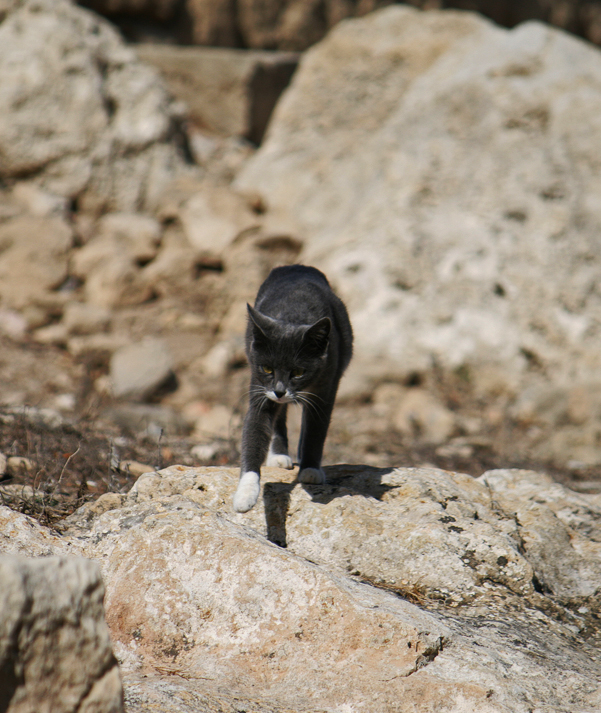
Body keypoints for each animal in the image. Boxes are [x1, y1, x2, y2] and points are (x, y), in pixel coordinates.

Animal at [231, 262, 352, 512]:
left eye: (298, 372)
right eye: (267, 368)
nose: (280, 390)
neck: (294, 314)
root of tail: (297, 265)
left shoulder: (326, 385)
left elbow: (316, 429)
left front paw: (311, 470)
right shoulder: (260, 386)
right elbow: (254, 430)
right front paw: (245, 495)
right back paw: (279, 456)